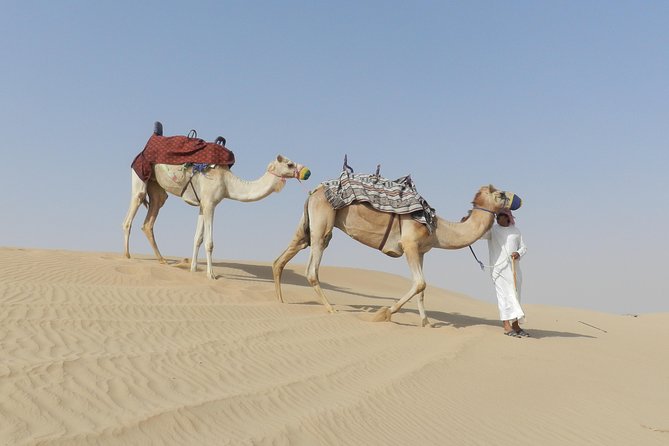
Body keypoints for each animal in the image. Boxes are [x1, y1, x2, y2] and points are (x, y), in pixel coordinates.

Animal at [123, 155, 310, 279]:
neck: (228, 183)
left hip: (156, 187)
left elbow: (197, 238)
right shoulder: (210, 204)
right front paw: (211, 274)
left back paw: (162, 260)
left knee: (150, 218)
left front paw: (193, 269)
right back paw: (127, 256)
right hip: (140, 176)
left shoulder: (202, 205)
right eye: (289, 164)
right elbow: (209, 242)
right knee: (132, 210)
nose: (307, 172)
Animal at [272, 184, 521, 326]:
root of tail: (314, 191)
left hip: (308, 223)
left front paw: (426, 323)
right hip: (323, 223)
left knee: (285, 255)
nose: (519, 199)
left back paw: (281, 300)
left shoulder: (421, 251)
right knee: (312, 269)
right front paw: (384, 313)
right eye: (500, 194)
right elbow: (420, 283)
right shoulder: (409, 244)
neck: (437, 227)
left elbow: (422, 290)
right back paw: (331, 308)